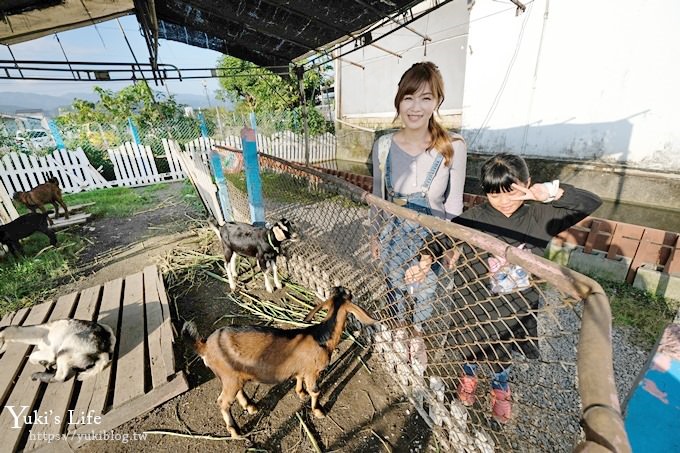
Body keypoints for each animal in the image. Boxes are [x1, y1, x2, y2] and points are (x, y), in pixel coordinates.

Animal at [183, 286, 378, 438]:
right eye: (349, 294)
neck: (321, 336)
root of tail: (204, 346)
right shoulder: (313, 371)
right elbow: (315, 391)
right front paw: (318, 411)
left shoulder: (303, 369)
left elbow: (299, 379)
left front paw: (300, 392)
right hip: (229, 377)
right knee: (223, 402)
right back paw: (235, 431)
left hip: (234, 375)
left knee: (236, 392)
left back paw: (251, 407)